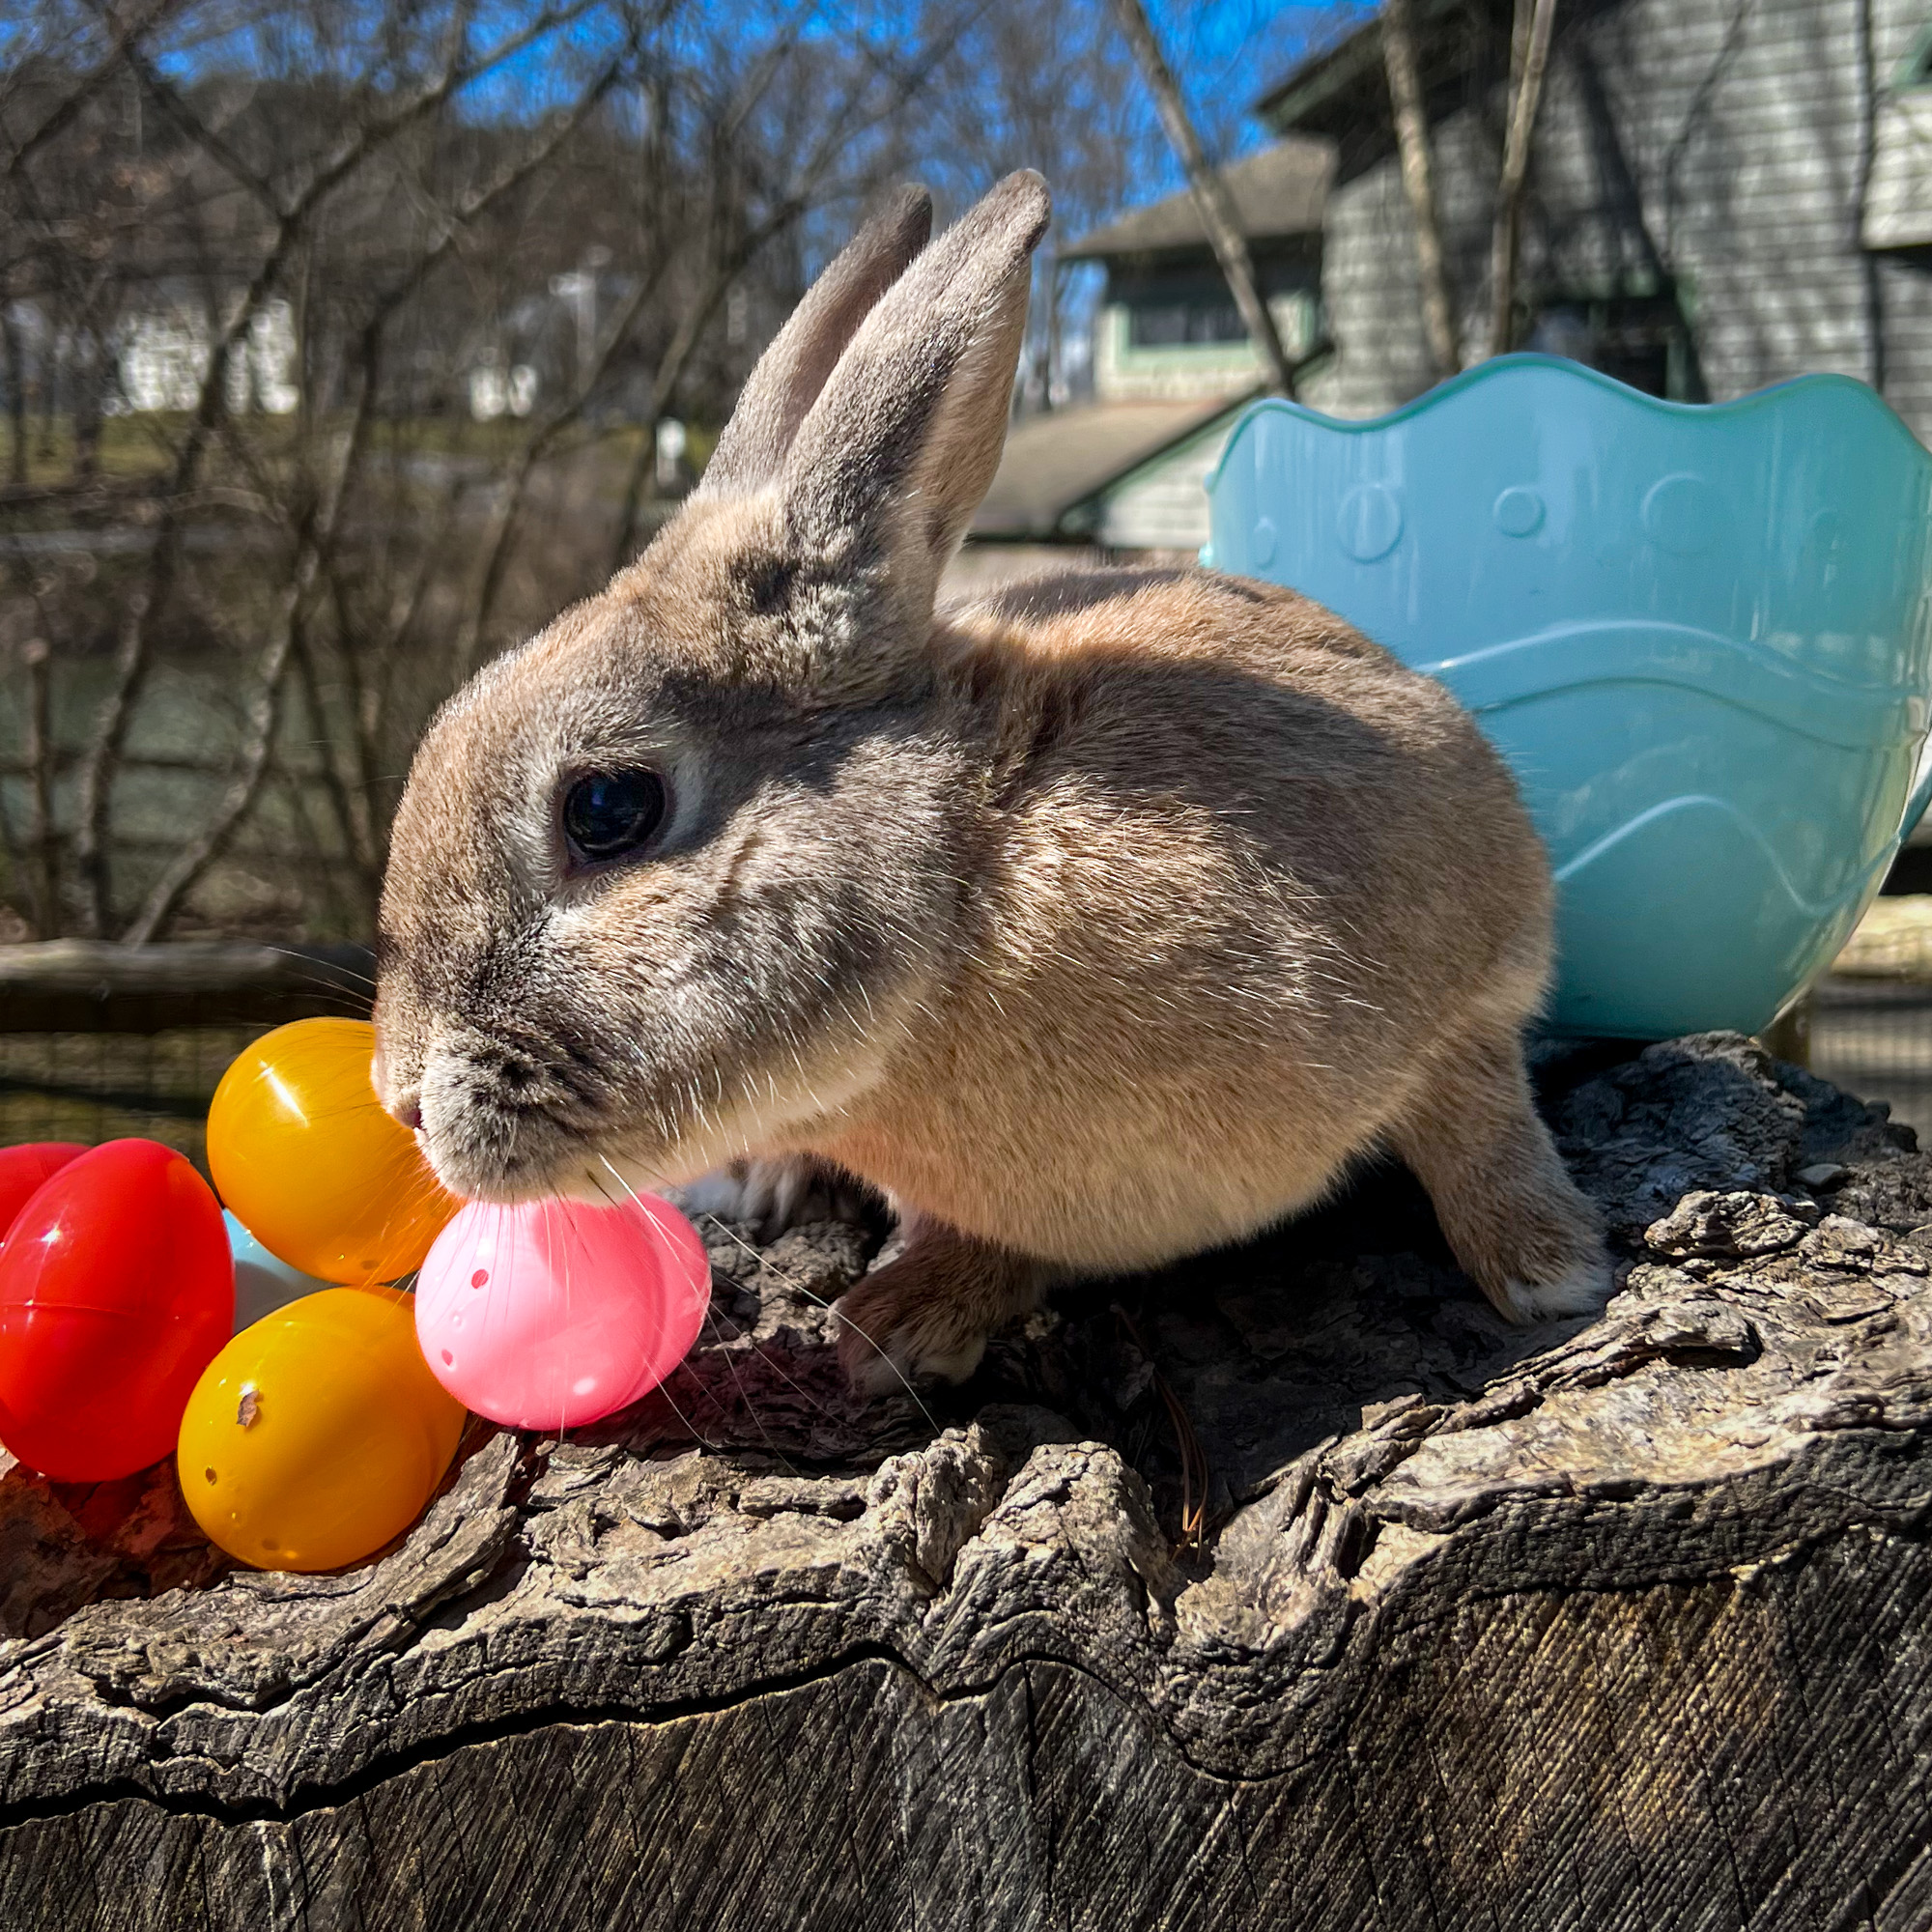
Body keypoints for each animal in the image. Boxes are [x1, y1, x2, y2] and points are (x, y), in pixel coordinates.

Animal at [369, 170, 1607, 1391]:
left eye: (608, 808)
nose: (405, 1100)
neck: (968, 886)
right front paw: (901, 1323)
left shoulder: (1468, 974)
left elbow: (1474, 1104)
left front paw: (1552, 1269)